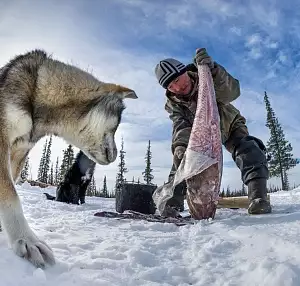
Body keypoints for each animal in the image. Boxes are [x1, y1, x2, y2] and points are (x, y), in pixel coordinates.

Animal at [0, 49, 138, 268]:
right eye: (116, 125)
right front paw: (26, 239)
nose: (117, 155)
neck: (38, 92)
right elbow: (10, 194)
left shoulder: (19, 152)